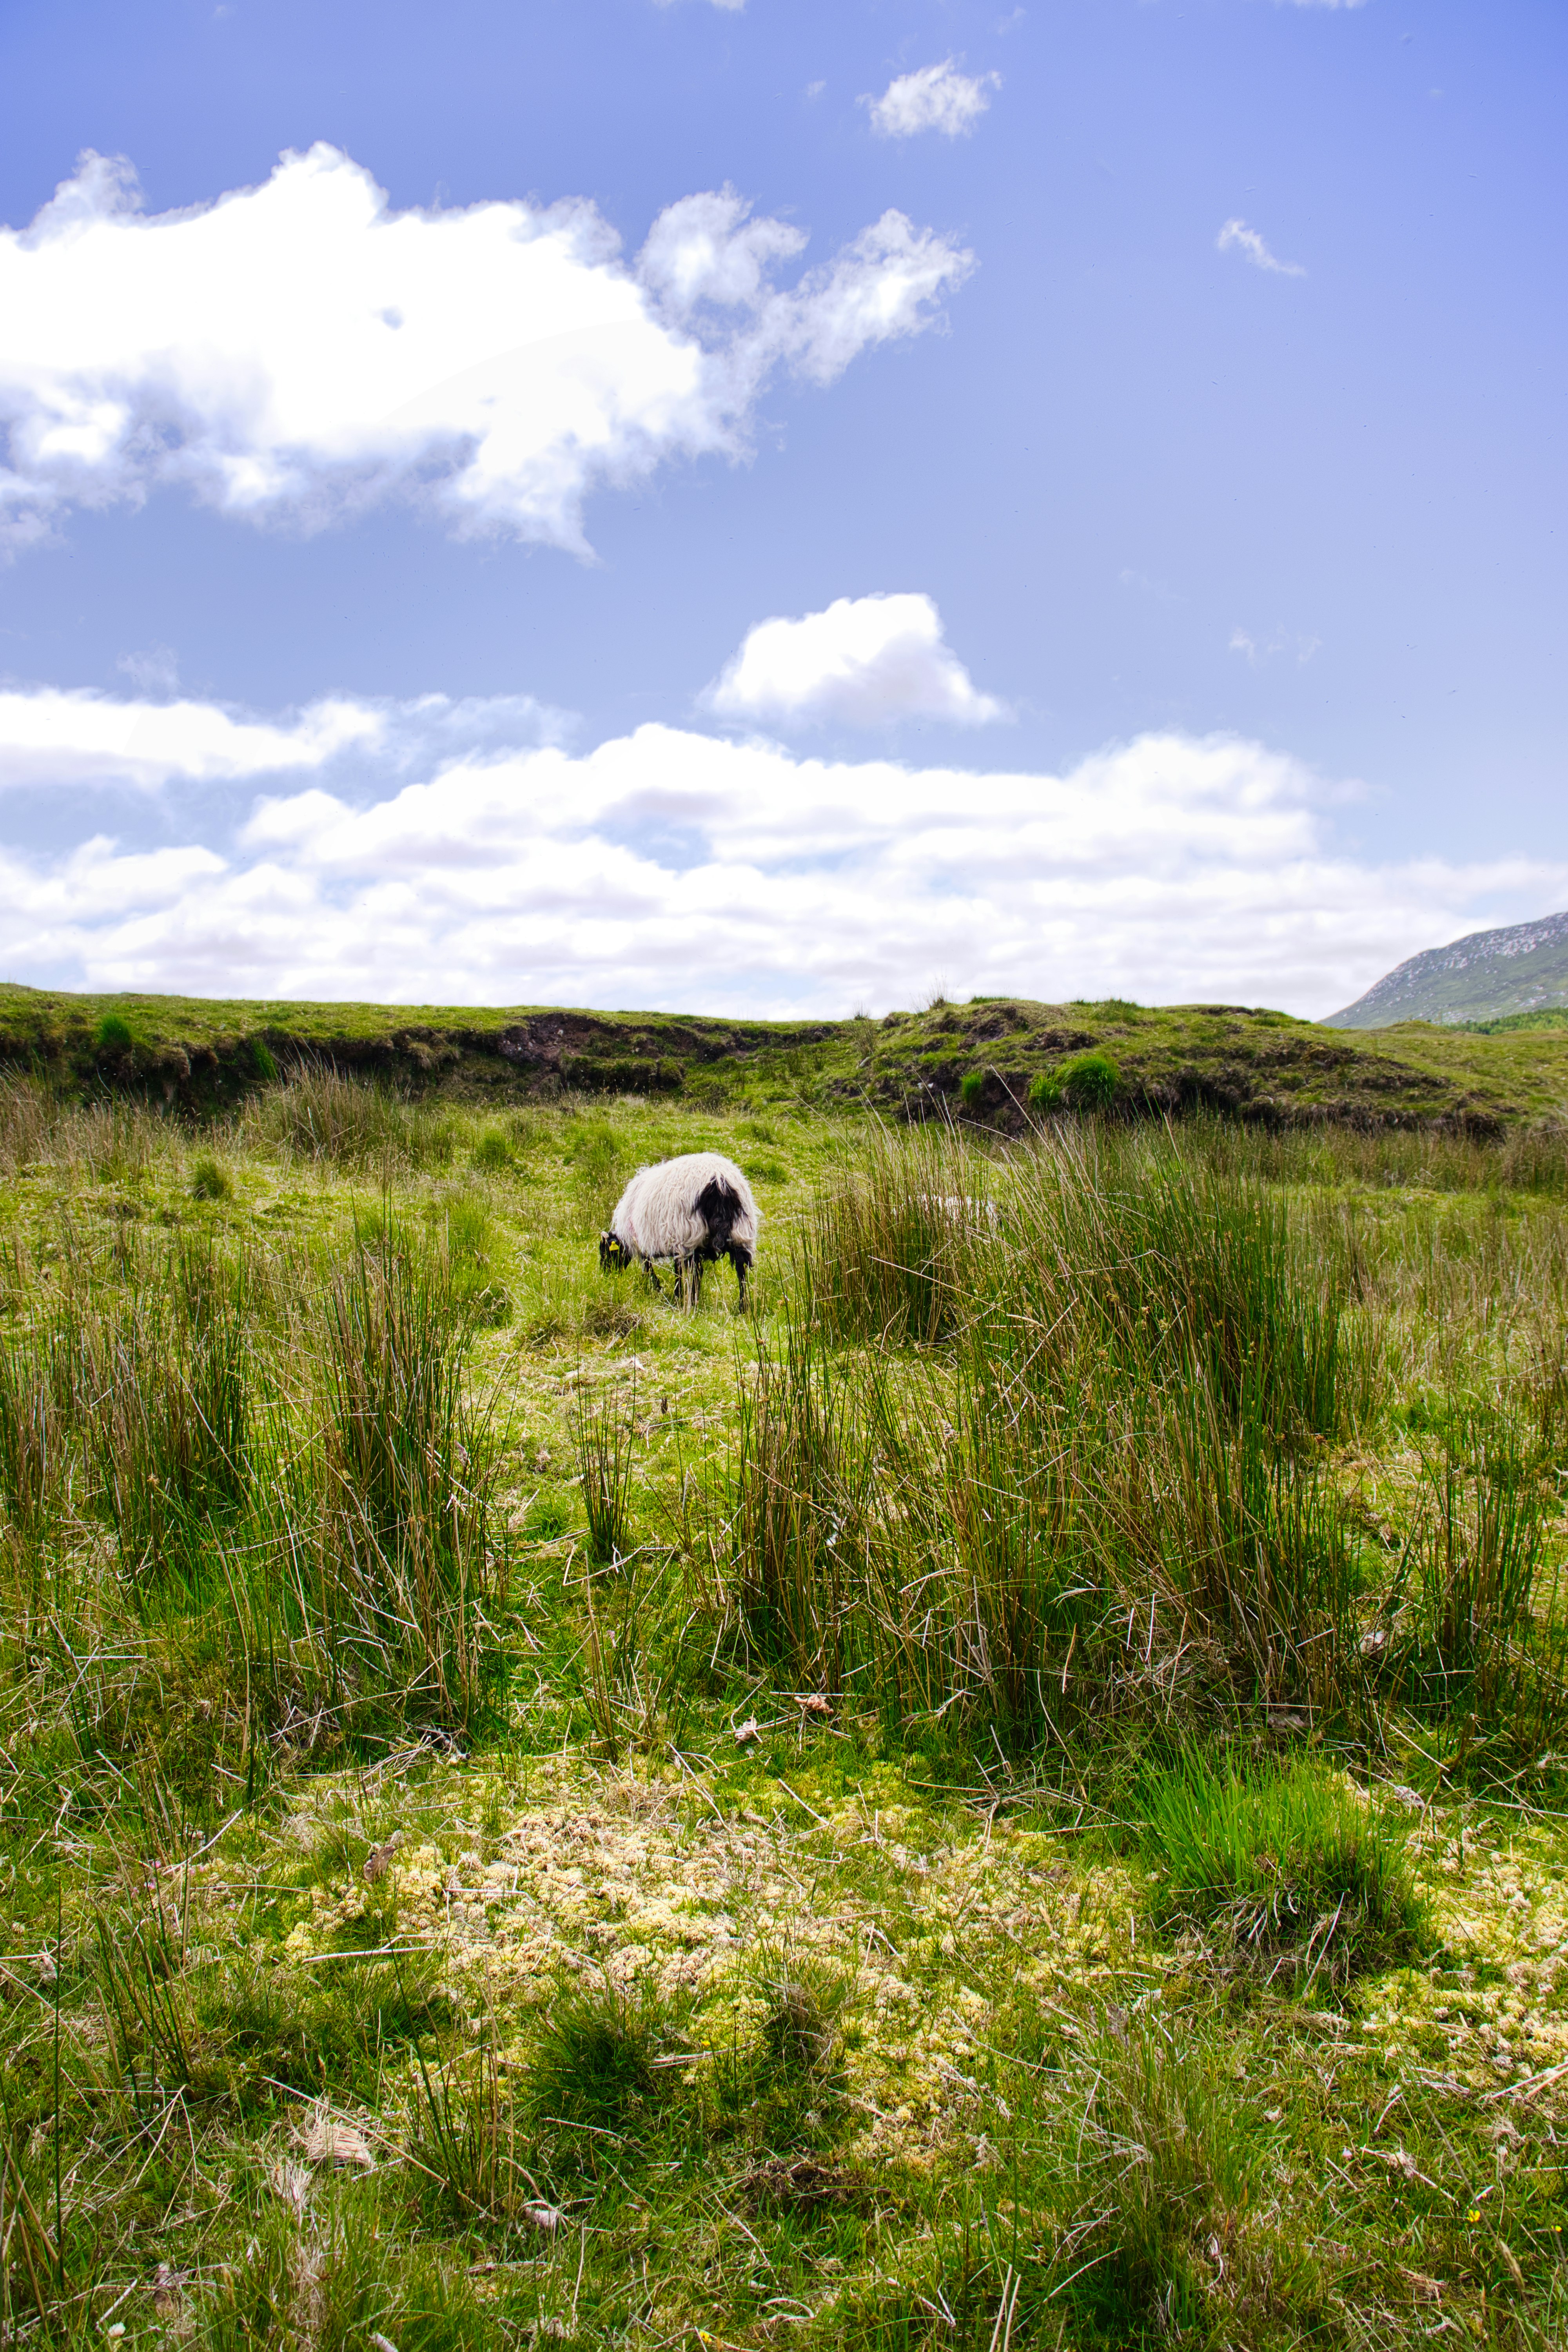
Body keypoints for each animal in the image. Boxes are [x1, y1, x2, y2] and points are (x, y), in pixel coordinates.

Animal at [599, 1152, 760, 1307]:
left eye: (605, 1252)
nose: (606, 1277)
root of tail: (719, 1180)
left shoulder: (647, 1240)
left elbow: (654, 1267)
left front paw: (666, 1291)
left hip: (689, 1232)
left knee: (694, 1270)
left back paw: (691, 1301)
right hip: (741, 1230)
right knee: (741, 1270)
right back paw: (743, 1307)